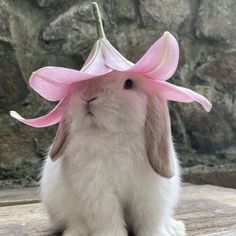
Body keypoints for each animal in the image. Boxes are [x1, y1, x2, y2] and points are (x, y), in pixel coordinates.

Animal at [40, 71, 186, 235]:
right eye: (80, 83)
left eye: (128, 83)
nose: (88, 96)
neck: (113, 135)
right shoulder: (99, 192)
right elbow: (108, 218)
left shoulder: (149, 194)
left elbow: (149, 221)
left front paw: (157, 233)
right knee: (74, 222)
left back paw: (175, 228)